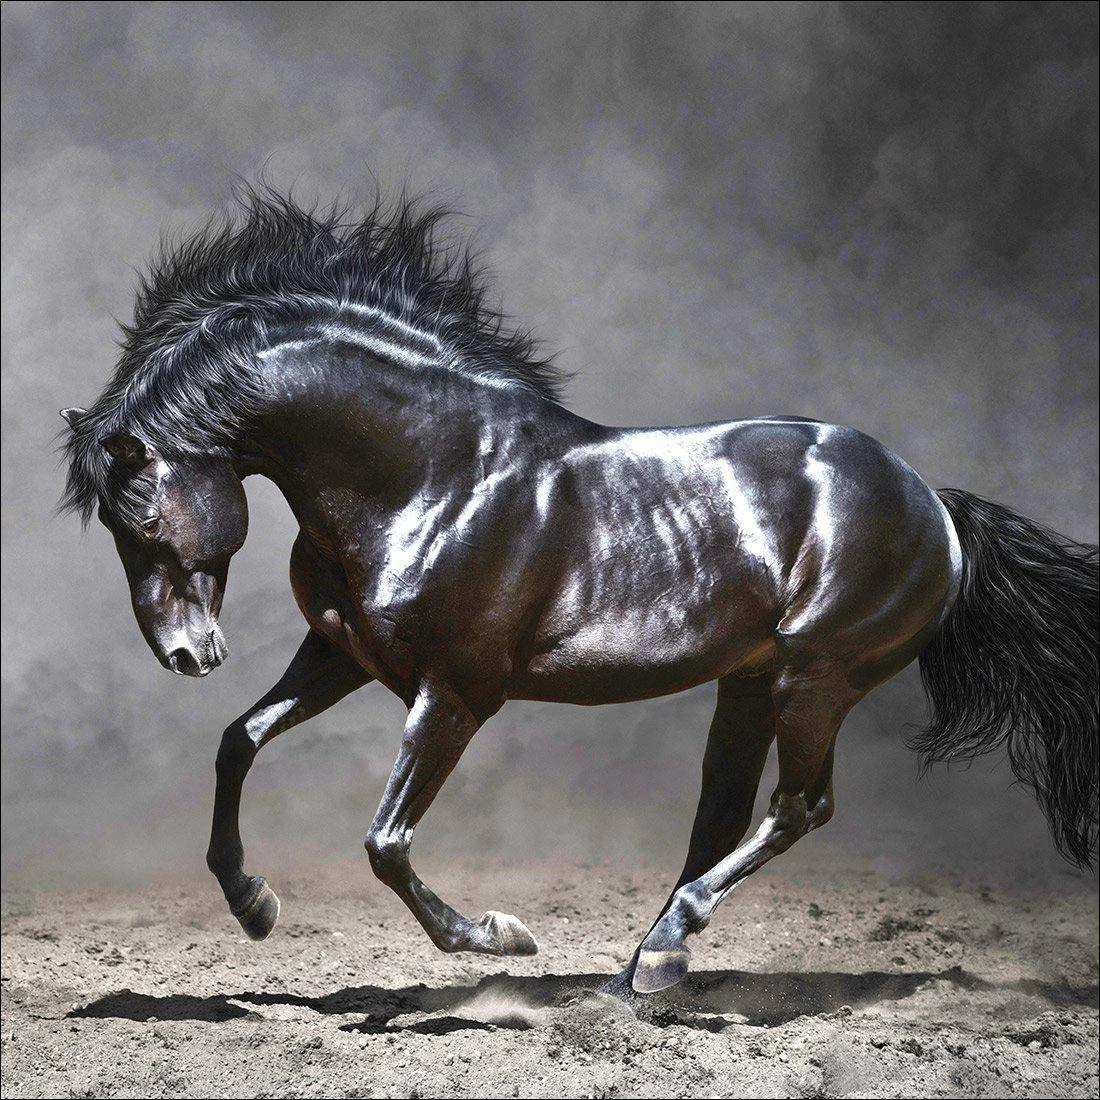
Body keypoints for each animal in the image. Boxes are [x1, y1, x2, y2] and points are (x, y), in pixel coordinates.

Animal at [61, 190, 1098, 996]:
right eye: (110, 528)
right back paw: (637, 974)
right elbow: (239, 741)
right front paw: (254, 906)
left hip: (817, 678)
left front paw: (496, 936)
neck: (431, 472)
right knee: (723, 813)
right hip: (749, 681)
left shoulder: (457, 693)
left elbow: (386, 841)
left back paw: (666, 954)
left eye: (141, 520)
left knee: (799, 808)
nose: (186, 654)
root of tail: (934, 503)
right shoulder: (342, 655)